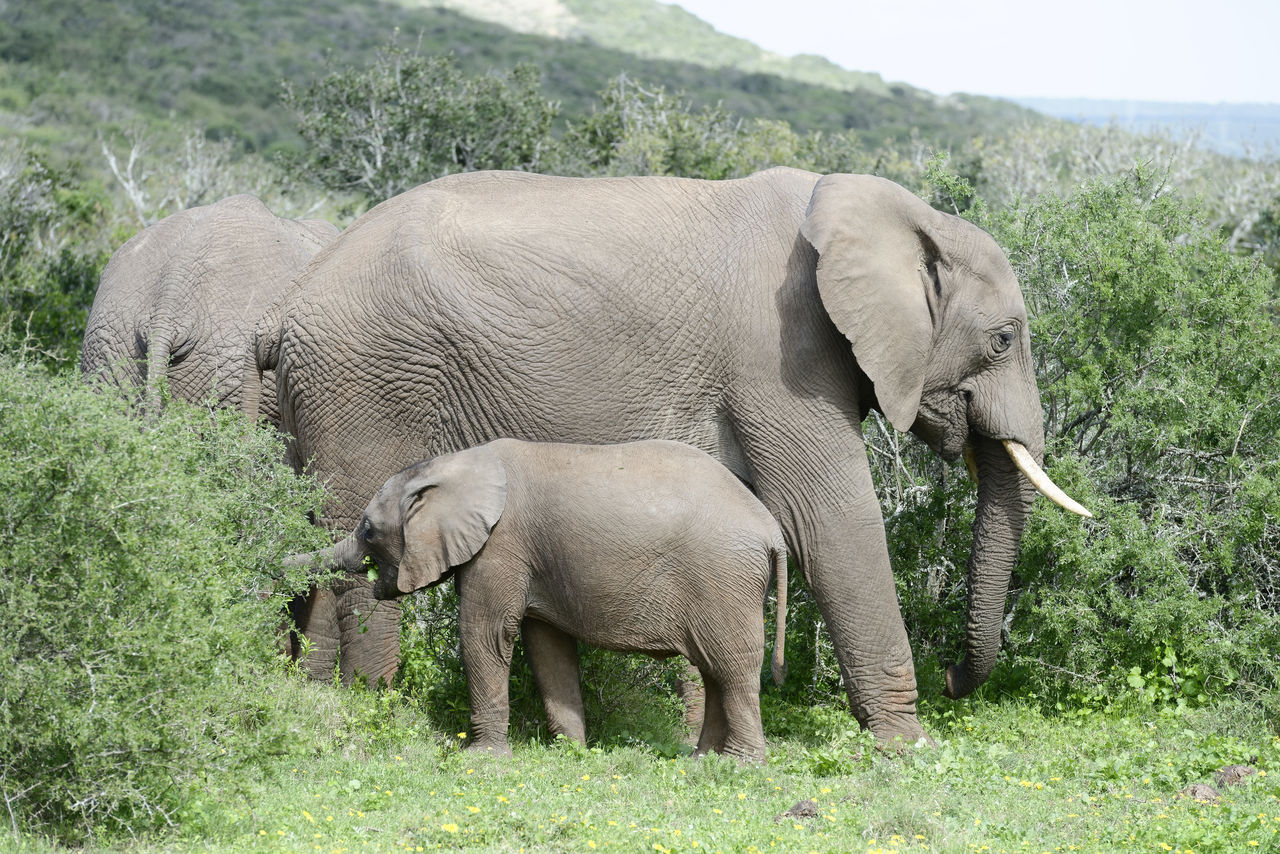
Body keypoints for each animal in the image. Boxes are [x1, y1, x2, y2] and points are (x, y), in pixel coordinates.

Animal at [311, 440, 788, 763]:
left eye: (368, 530)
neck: (458, 463)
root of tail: (772, 530)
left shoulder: (500, 546)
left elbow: (486, 634)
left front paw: (483, 761)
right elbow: (547, 646)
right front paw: (570, 754)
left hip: (723, 579)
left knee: (732, 668)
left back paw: (741, 766)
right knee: (714, 669)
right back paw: (703, 761)